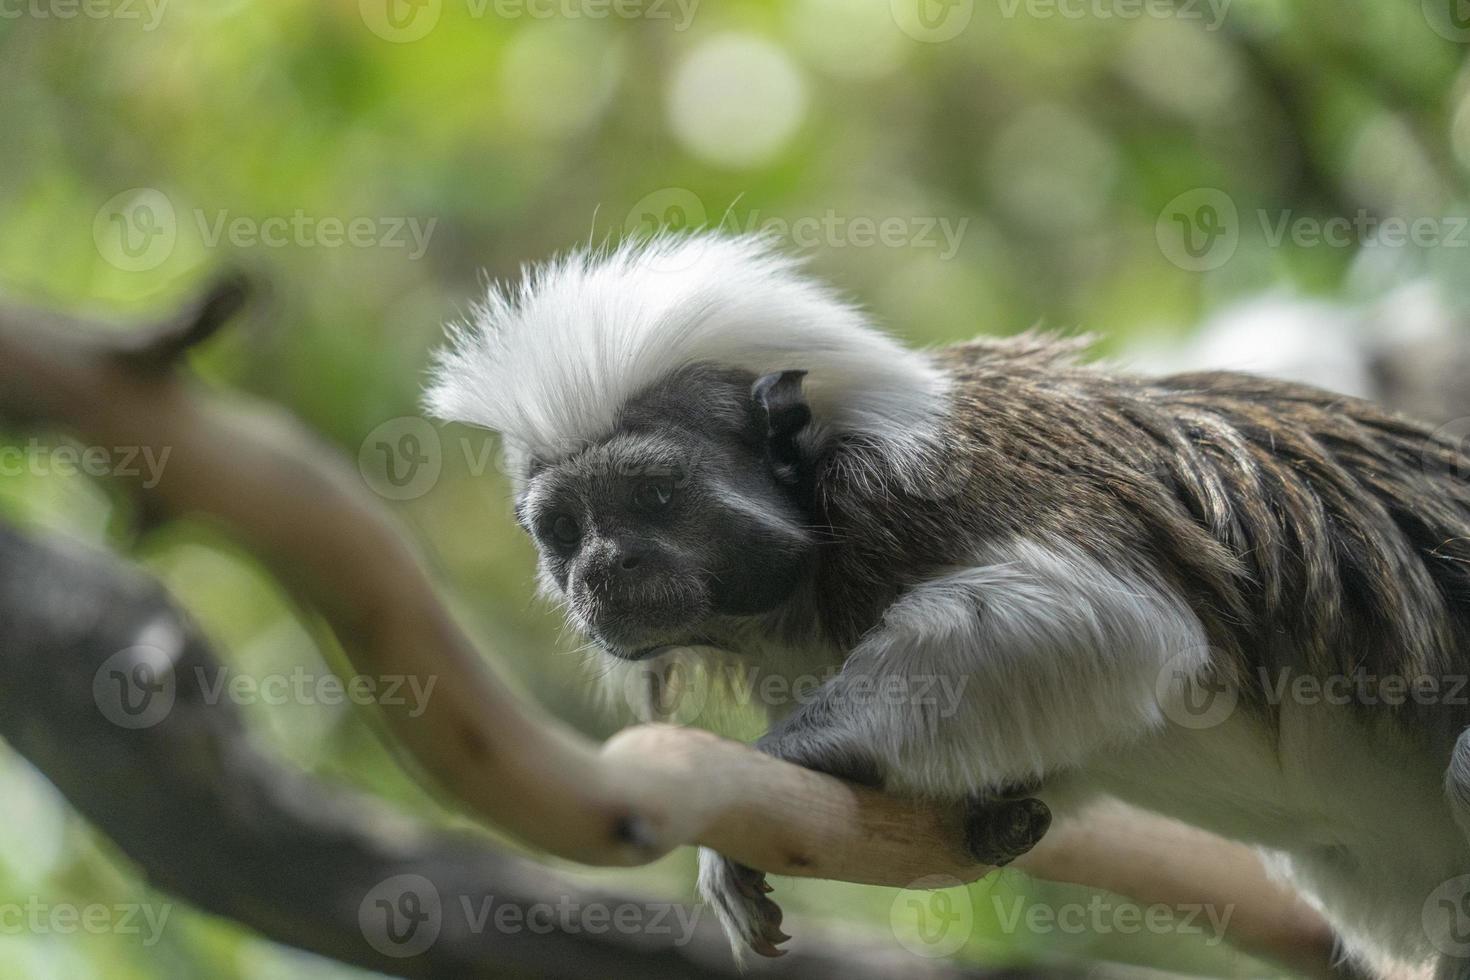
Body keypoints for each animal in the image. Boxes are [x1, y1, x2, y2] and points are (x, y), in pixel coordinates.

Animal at [426, 233, 1470, 975]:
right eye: (565, 529)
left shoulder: (927, 485)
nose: (603, 568)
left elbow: (1115, 622)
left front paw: (785, 760)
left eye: (652, 498)